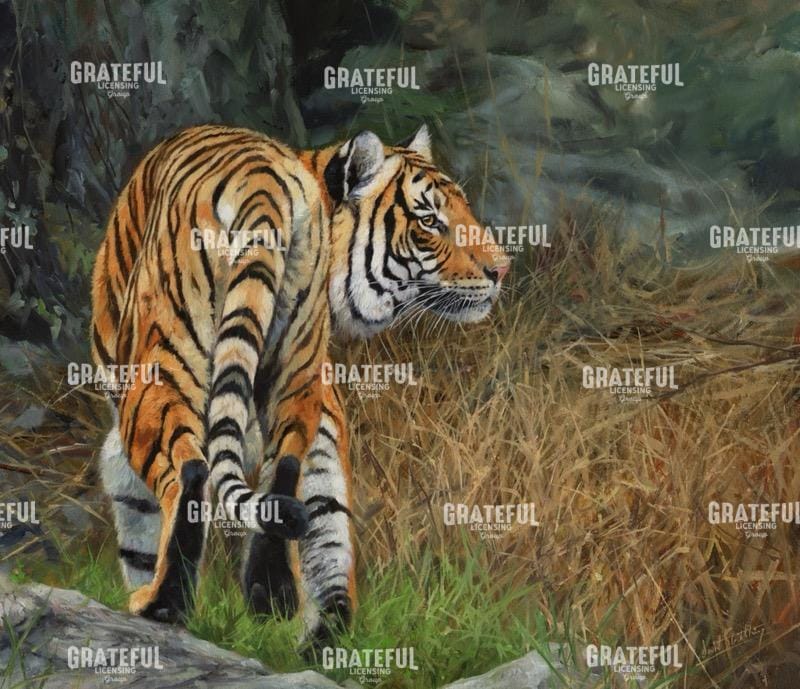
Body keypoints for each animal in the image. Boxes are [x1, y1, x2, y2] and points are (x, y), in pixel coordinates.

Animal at [90, 122, 510, 646]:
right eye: (430, 221)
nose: (502, 269)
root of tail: (260, 182)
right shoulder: (321, 391)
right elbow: (327, 508)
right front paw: (327, 628)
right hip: (289, 366)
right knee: (280, 468)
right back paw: (268, 593)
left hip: (164, 371)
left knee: (191, 470)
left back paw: (166, 602)